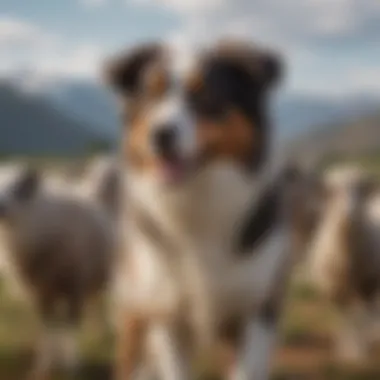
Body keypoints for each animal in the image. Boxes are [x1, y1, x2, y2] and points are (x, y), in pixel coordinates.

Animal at [0, 166, 119, 380]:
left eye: (16, 187)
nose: (1, 207)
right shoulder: (41, 292)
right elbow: (48, 327)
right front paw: (44, 367)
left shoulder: (75, 287)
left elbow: (70, 326)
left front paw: (72, 367)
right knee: (94, 303)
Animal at [107, 40, 294, 378]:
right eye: (151, 95)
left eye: (205, 96)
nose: (160, 134)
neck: (196, 203)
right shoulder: (165, 313)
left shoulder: (259, 307)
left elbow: (248, 369)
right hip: (136, 315)